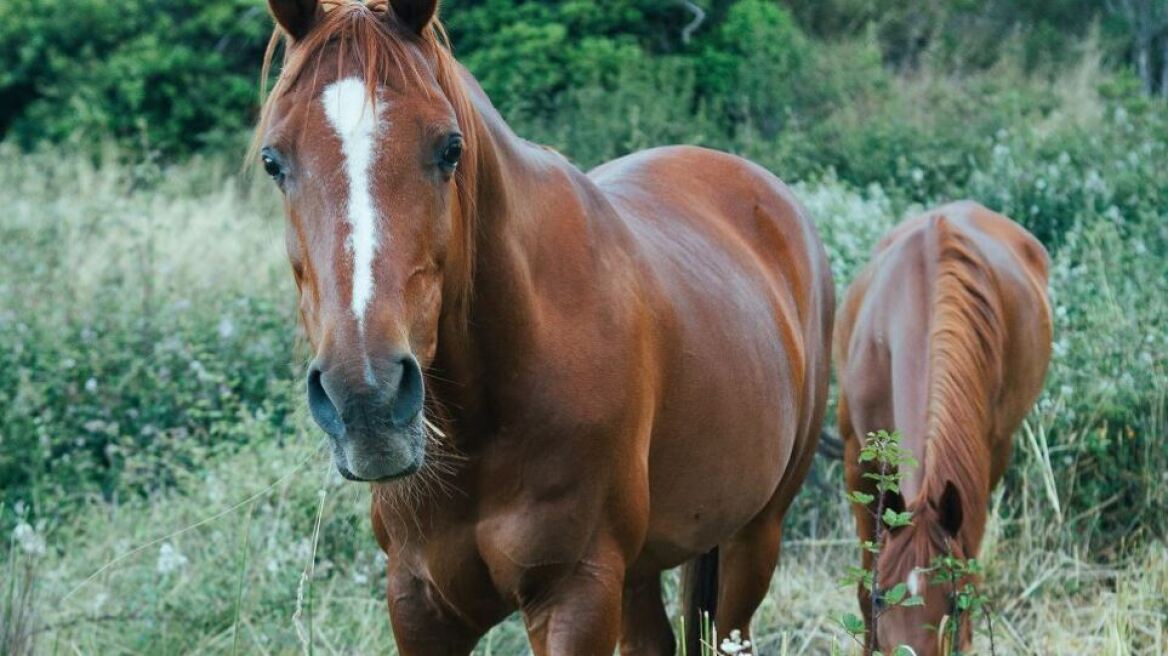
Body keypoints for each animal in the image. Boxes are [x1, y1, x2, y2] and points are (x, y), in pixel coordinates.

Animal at [251, 2, 836, 648]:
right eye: (273, 161)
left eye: (449, 148)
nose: (367, 400)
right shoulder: (418, 601)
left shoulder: (575, 594)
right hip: (640, 569)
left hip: (753, 540)